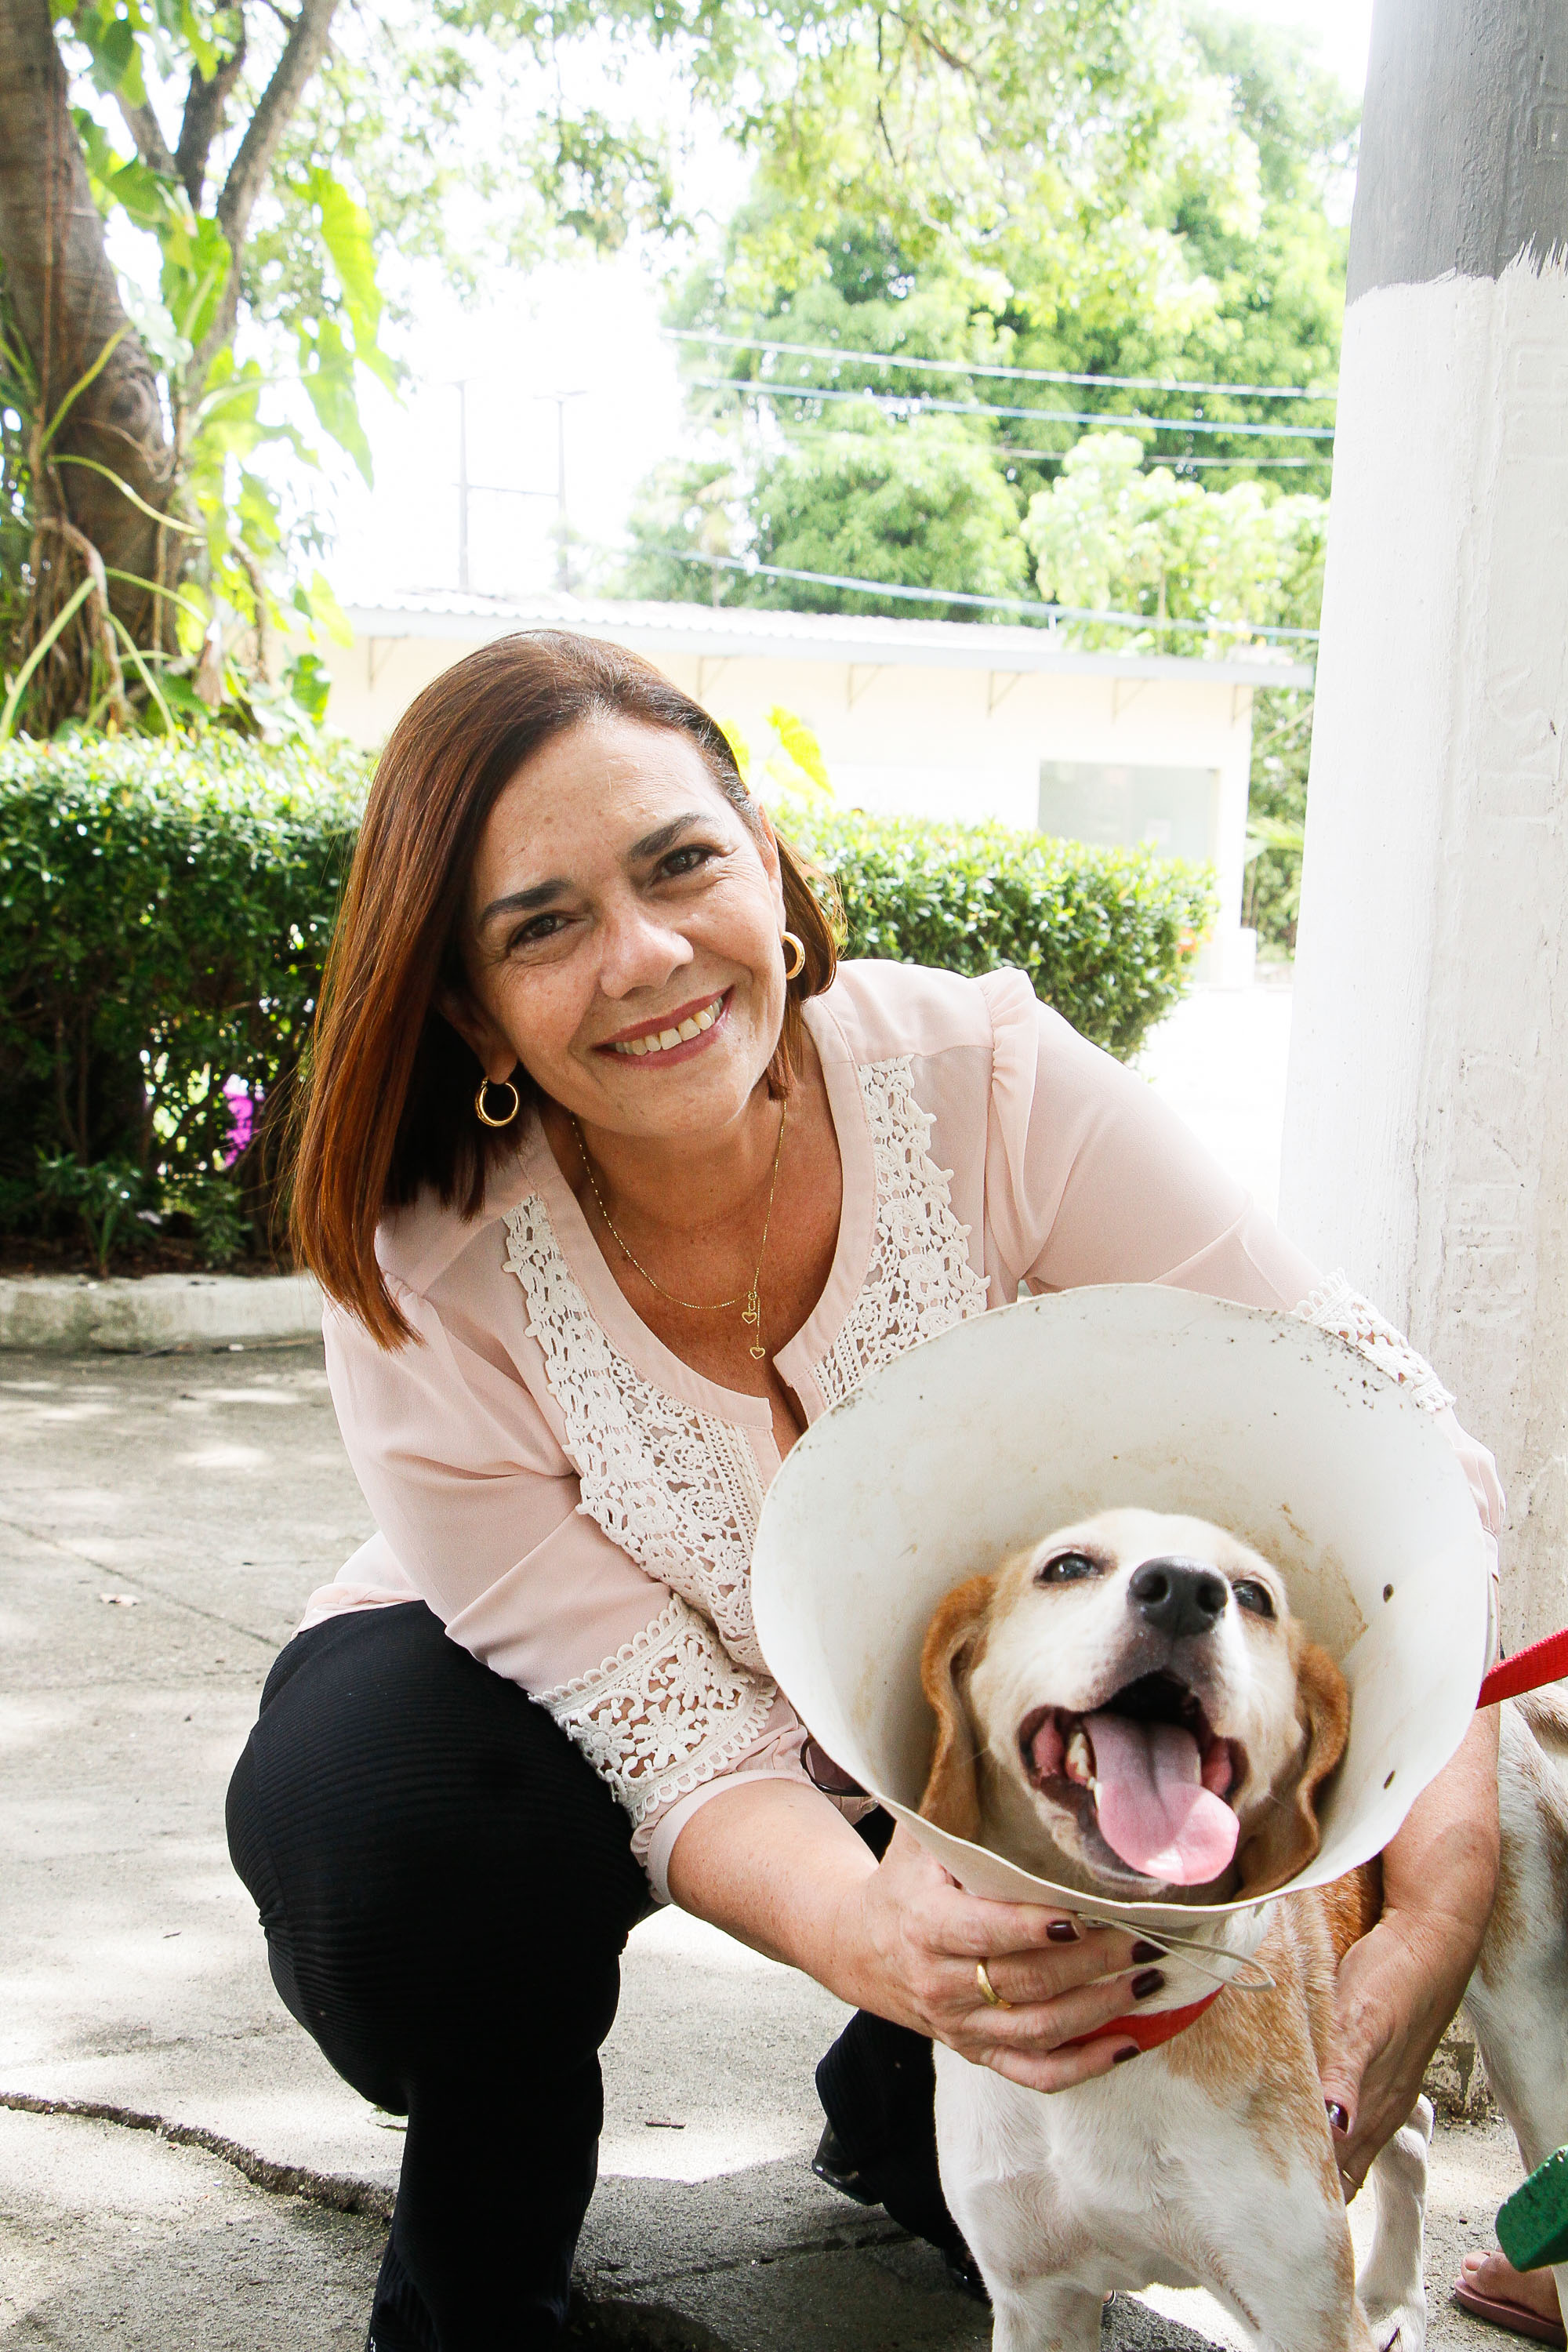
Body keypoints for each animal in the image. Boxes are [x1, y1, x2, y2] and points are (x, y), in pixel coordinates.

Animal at [921, 1515, 1448, 2352]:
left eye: (1253, 1596)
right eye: (1067, 1566)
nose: (1182, 1591)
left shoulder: (1305, 2312)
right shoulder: (1035, 2303)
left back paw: (1399, 2298)